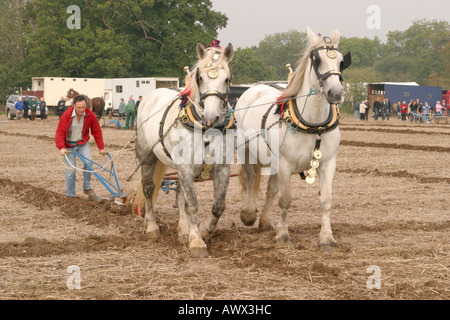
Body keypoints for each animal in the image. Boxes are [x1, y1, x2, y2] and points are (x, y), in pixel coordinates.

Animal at [135, 42, 236, 258]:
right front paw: (197, 241)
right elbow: (192, 205)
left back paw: (182, 229)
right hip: (148, 157)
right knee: (149, 189)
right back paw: (152, 226)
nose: (211, 117)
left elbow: (218, 206)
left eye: (226, 79)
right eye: (201, 78)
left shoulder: (222, 168)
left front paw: (204, 231)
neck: (204, 129)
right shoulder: (186, 167)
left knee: (180, 193)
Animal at [236, 27, 352, 251]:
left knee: (271, 188)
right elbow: (285, 200)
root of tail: (254, 88)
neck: (314, 124)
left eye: (342, 61)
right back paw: (249, 214)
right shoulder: (285, 163)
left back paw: (265, 221)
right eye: (317, 60)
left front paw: (327, 238)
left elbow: (326, 200)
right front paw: (283, 235)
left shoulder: (328, 163)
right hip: (246, 150)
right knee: (251, 179)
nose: (335, 93)